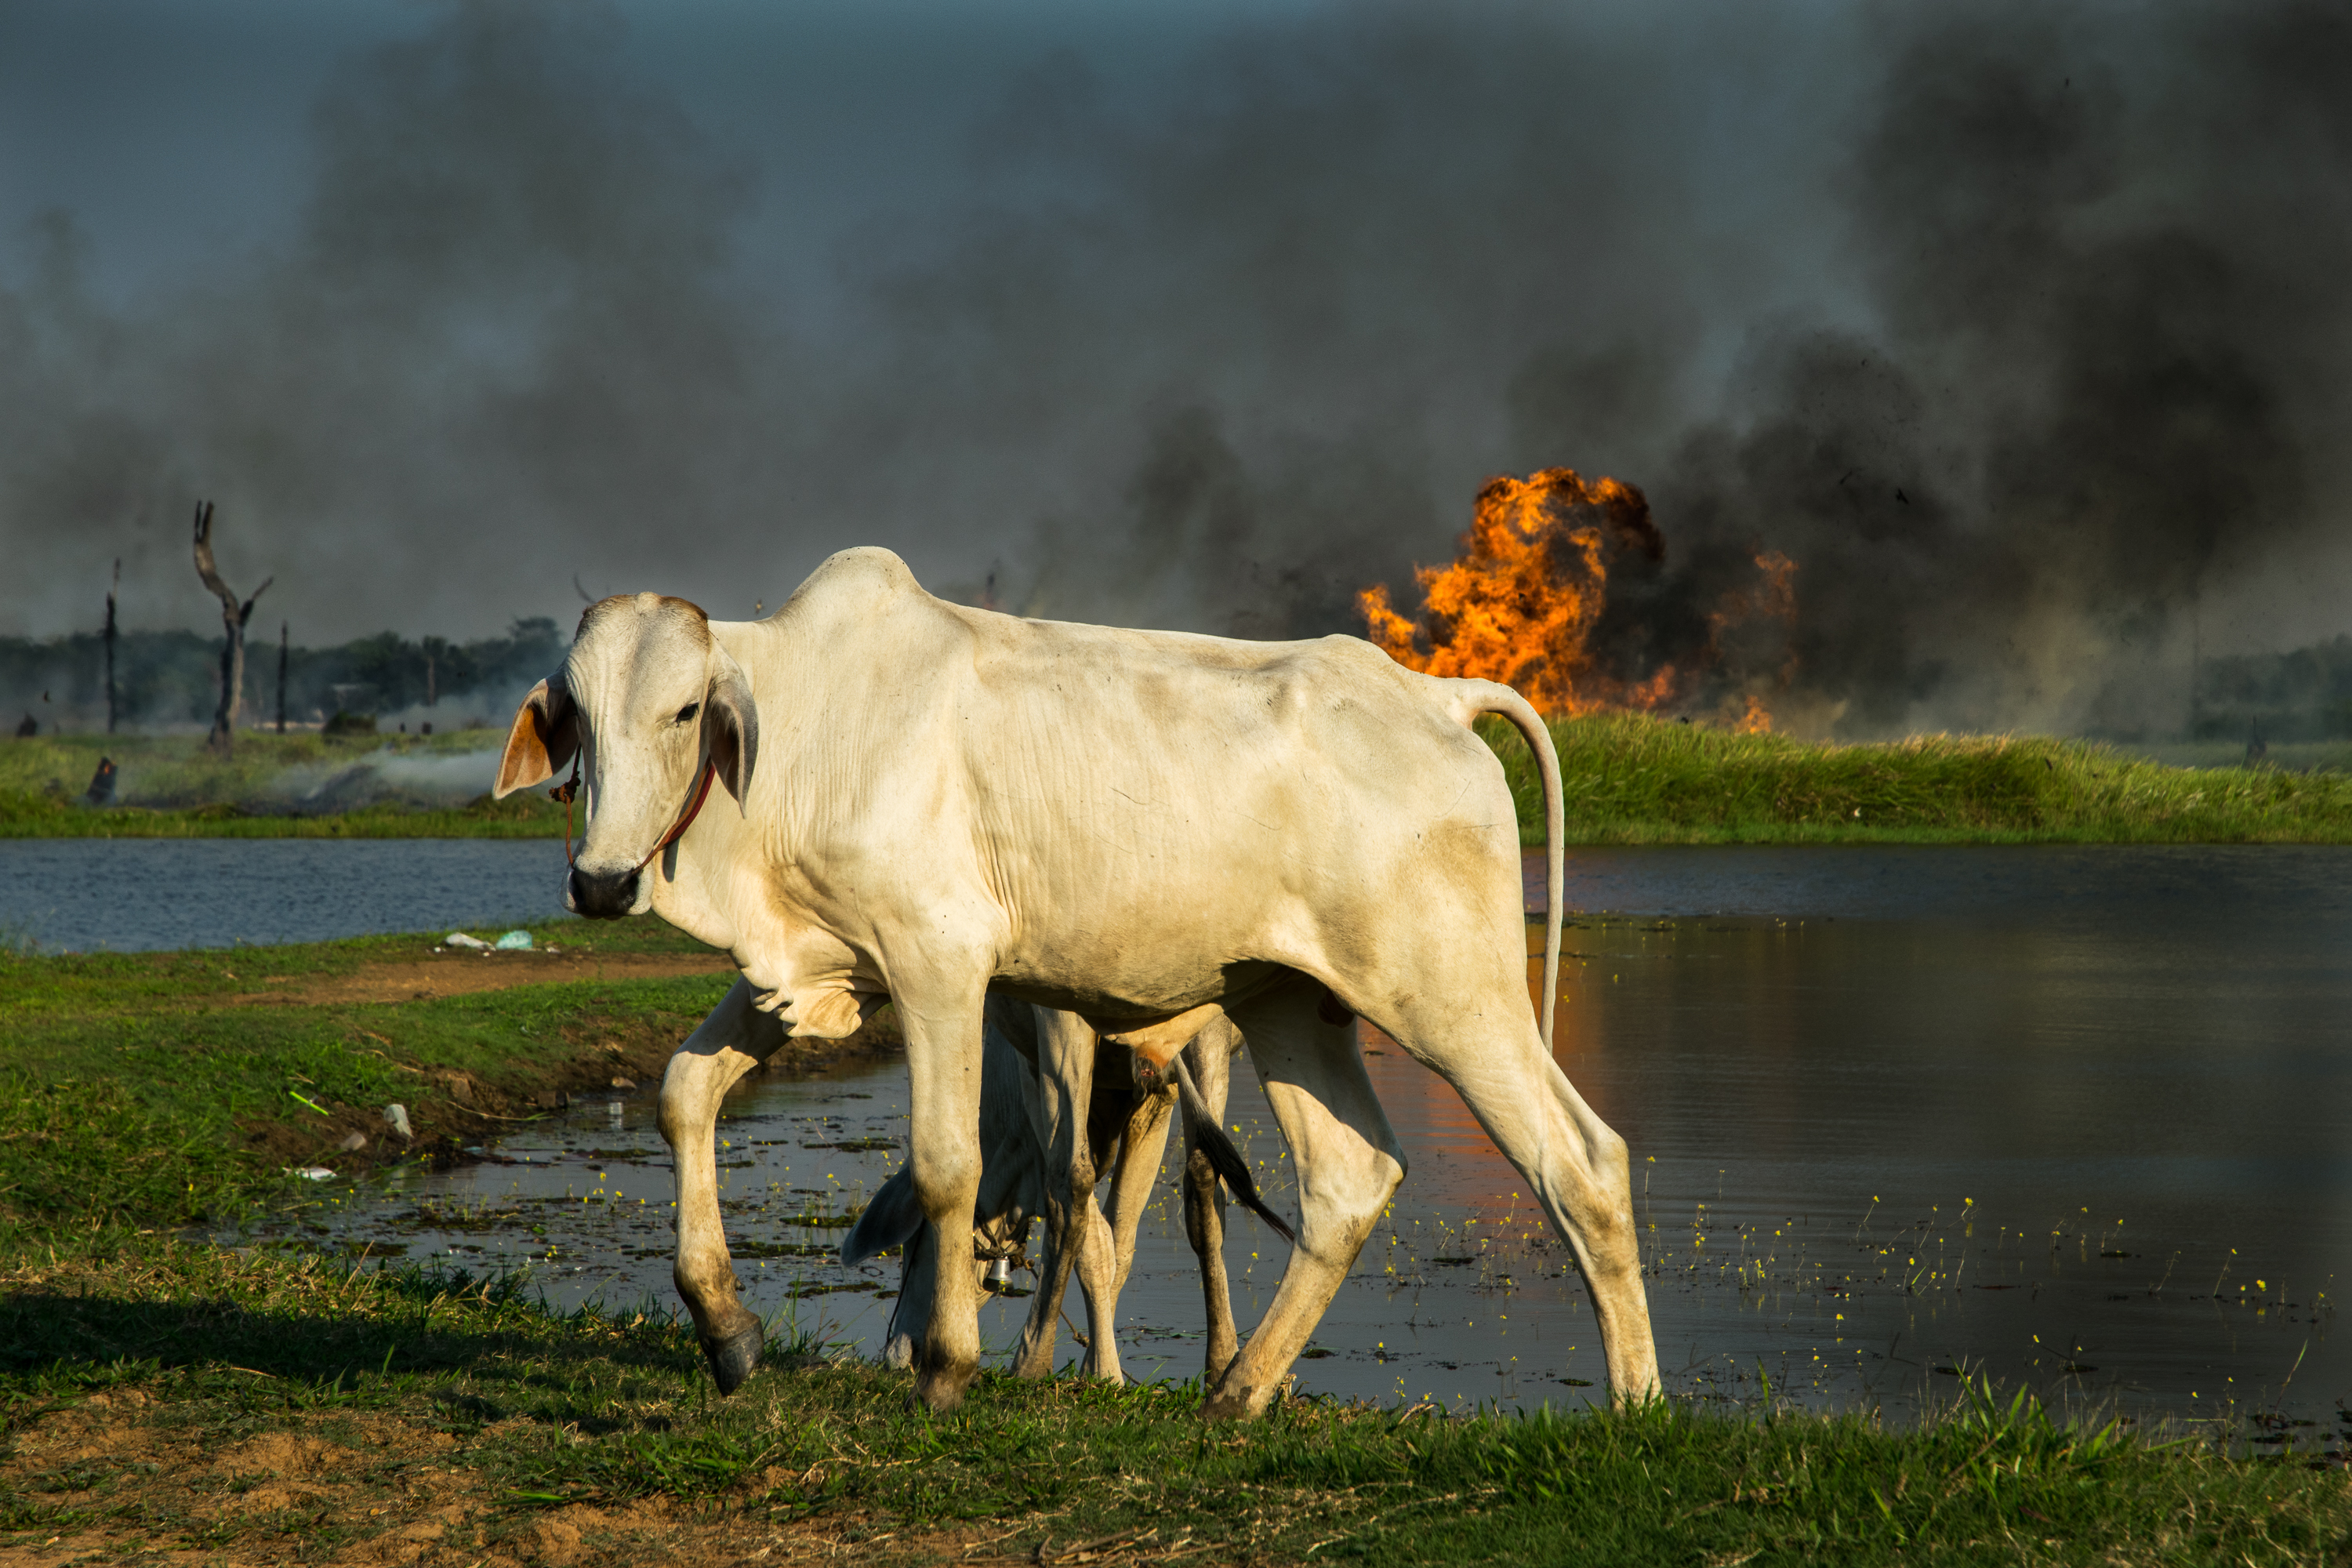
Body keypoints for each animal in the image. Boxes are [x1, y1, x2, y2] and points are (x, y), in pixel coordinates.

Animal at [494, 545, 1665, 1420]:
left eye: (686, 712)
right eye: (577, 717)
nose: (600, 880)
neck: (807, 735)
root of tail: (1438, 696)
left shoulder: (941, 962)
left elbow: (949, 1165)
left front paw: (948, 1366)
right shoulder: (823, 965)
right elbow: (683, 1093)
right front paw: (724, 1329)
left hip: (1453, 993)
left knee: (1582, 1163)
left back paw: (1636, 1407)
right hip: (1289, 1001)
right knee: (1350, 1176)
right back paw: (1237, 1394)